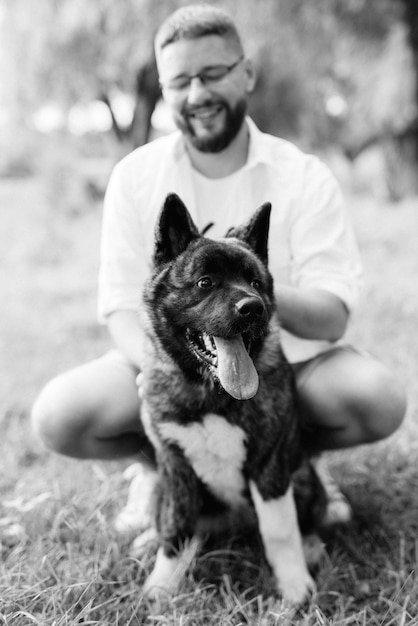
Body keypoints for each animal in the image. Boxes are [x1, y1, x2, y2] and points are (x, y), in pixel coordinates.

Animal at [139, 191, 324, 604]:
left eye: (255, 281)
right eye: (204, 282)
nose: (252, 307)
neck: (209, 391)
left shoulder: (269, 466)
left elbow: (280, 530)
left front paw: (293, 583)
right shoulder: (176, 470)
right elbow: (176, 528)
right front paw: (162, 583)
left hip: (303, 475)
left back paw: (312, 546)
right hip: (160, 486)